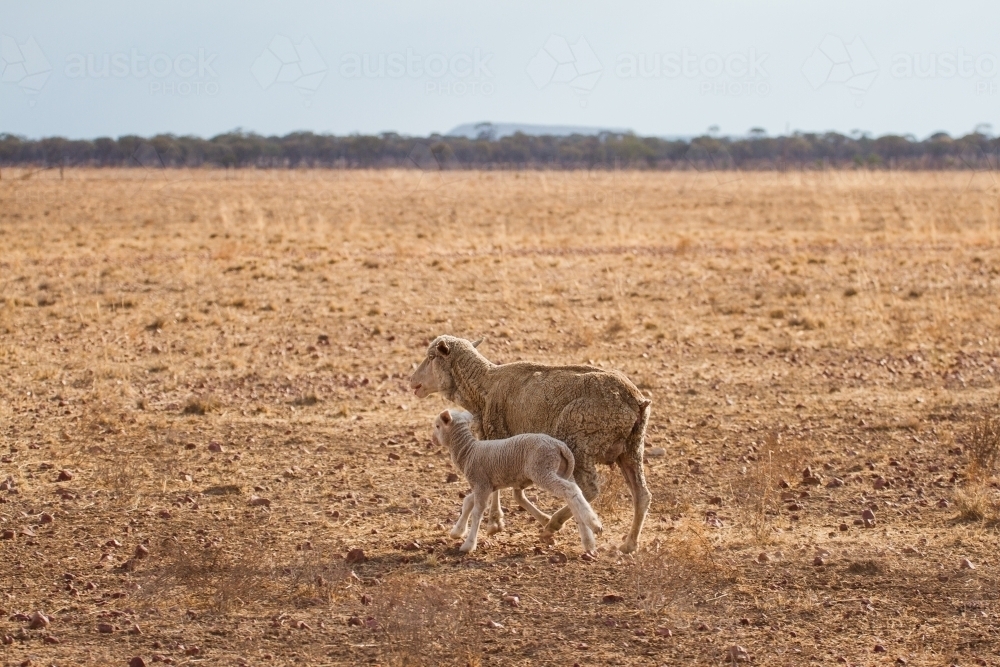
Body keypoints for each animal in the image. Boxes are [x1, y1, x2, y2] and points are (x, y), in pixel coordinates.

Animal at [432, 409, 602, 554]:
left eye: (437, 426)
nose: (433, 439)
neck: (468, 451)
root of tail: (560, 446)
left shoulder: (481, 483)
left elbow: (477, 511)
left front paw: (468, 545)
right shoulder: (487, 486)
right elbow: (467, 501)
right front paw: (457, 531)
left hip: (542, 470)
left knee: (570, 490)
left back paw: (594, 525)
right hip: (562, 471)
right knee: (574, 492)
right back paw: (588, 540)